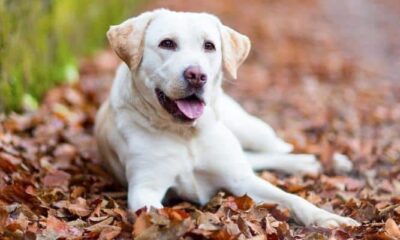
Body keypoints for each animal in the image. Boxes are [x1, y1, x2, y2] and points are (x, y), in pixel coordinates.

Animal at [96, 8, 360, 227]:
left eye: (209, 46)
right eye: (167, 44)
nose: (196, 75)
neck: (187, 134)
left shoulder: (241, 180)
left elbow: (291, 198)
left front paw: (327, 218)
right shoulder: (145, 189)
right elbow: (157, 214)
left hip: (251, 130)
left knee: (278, 148)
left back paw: (326, 161)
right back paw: (313, 164)